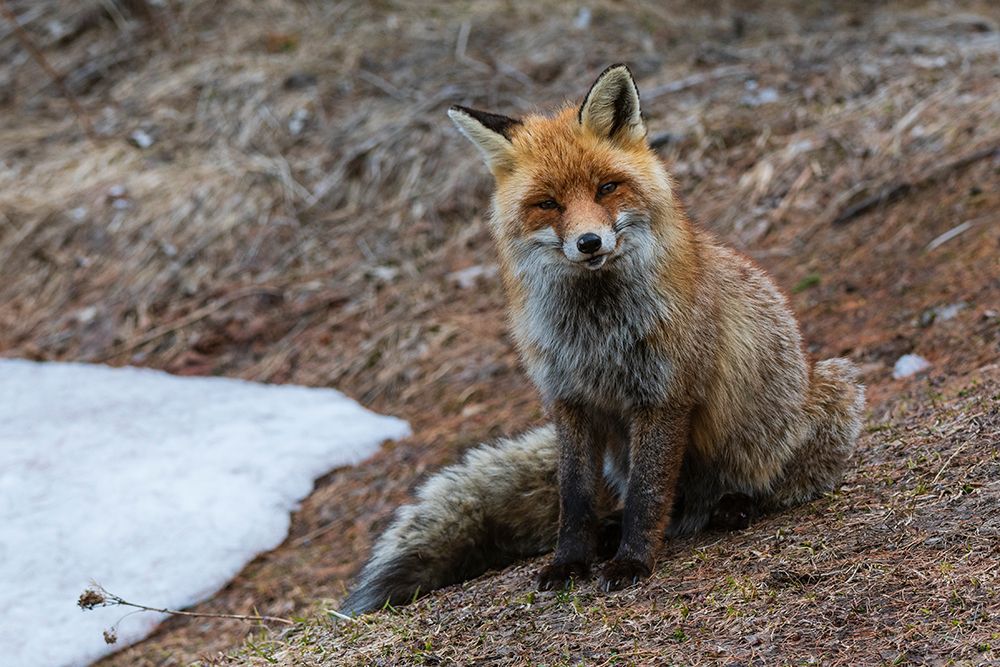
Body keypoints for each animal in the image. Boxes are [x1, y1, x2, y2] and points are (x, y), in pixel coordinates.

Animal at [341, 64, 864, 615]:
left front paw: (632, 563)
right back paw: (615, 530)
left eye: (607, 187)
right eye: (548, 204)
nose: (589, 242)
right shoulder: (569, 400)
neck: (597, 331)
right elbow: (575, 500)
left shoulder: (664, 397)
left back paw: (733, 505)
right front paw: (570, 562)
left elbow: (647, 495)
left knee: (765, 485)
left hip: (825, 396)